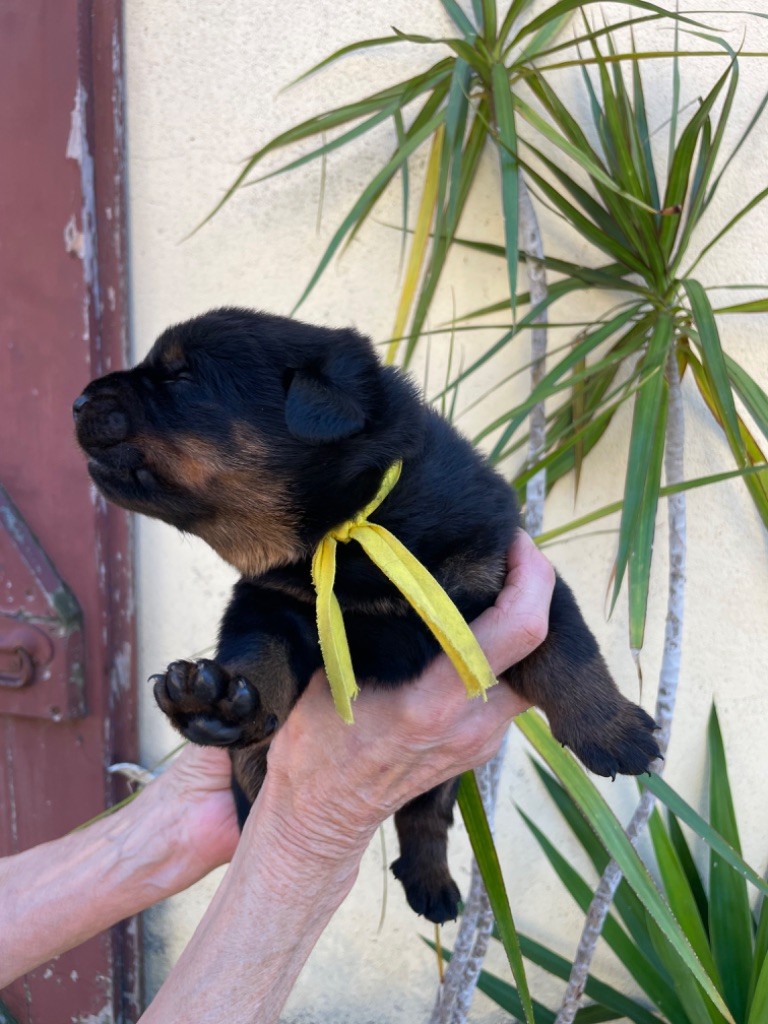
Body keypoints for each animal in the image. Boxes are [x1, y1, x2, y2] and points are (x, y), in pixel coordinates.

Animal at [73, 307, 663, 925]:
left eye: (180, 377)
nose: (77, 400)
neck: (347, 532)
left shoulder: (512, 572)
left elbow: (569, 651)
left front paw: (614, 731)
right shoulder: (268, 603)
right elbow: (258, 653)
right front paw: (210, 698)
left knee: (426, 815)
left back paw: (431, 882)